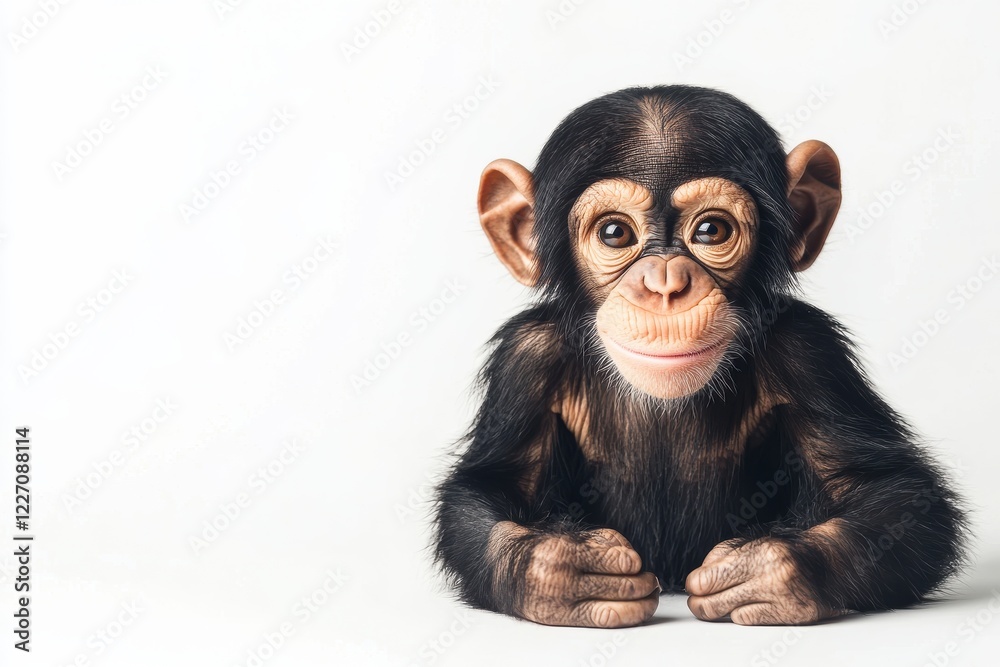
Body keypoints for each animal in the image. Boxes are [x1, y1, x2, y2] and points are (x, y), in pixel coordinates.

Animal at [433, 85, 966, 628]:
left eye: (710, 230)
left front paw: (770, 570)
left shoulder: (809, 351)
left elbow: (893, 494)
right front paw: (562, 570)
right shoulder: (526, 359)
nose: (666, 285)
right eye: (614, 234)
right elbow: (490, 487)